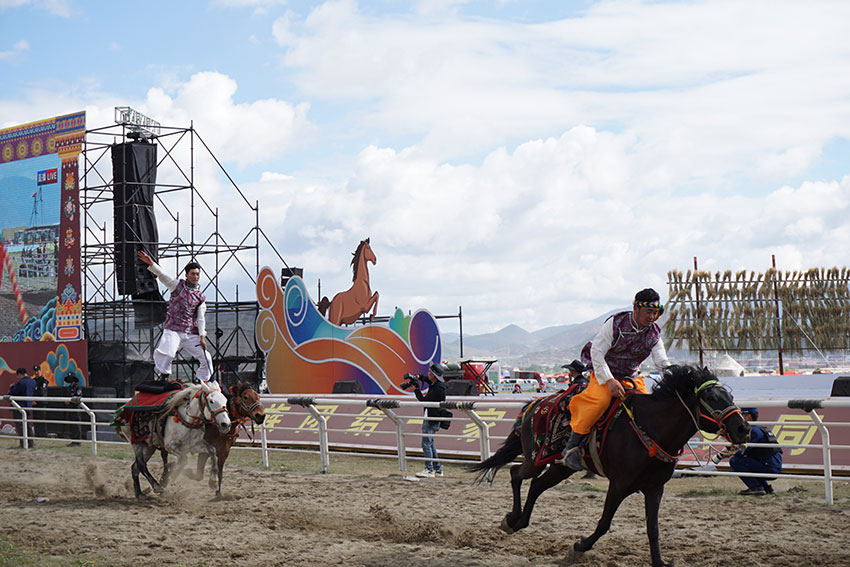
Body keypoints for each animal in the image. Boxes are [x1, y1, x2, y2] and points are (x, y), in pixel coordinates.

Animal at [470, 366, 748, 564]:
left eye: (730, 395)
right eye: (710, 396)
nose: (742, 428)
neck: (651, 429)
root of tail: (533, 404)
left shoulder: (655, 488)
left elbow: (653, 528)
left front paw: (659, 561)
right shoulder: (619, 485)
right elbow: (604, 523)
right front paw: (579, 547)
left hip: (561, 467)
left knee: (536, 485)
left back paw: (519, 521)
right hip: (536, 458)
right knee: (517, 474)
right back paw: (512, 519)